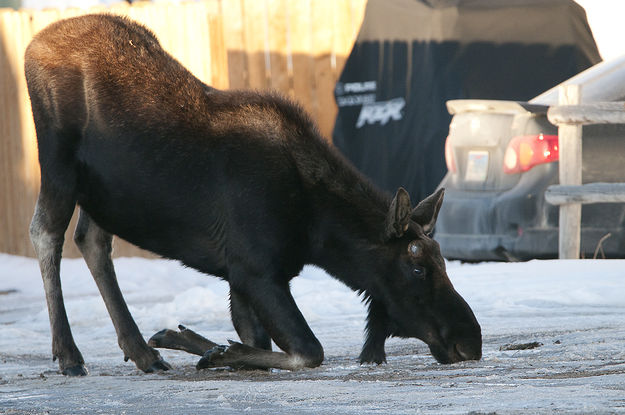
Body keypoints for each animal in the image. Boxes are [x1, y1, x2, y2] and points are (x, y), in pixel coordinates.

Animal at [25, 14, 482, 376]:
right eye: (417, 268)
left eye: (442, 261)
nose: (471, 341)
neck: (317, 230)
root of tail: (33, 43)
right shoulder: (254, 269)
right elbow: (308, 351)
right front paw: (213, 350)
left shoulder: (239, 274)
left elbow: (258, 344)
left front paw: (198, 345)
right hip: (58, 162)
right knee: (46, 232)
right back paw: (69, 355)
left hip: (102, 194)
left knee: (91, 239)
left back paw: (141, 352)